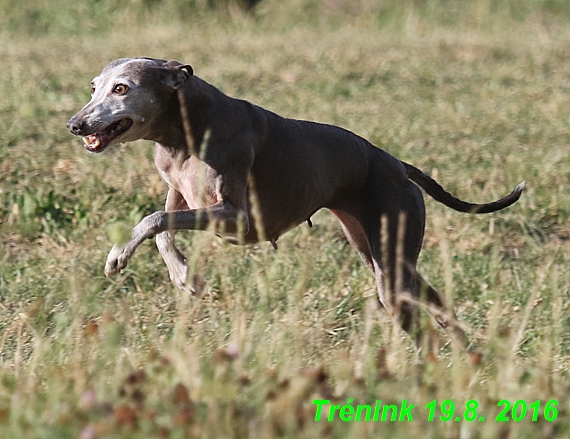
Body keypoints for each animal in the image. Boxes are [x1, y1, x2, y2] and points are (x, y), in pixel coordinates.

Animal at [67, 56, 524, 348]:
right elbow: (161, 224)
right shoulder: (180, 193)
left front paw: (119, 256)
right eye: (93, 88)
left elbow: (153, 219)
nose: (75, 124)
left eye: (121, 88)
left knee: (423, 331)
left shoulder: (237, 218)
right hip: (383, 255)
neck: (186, 126)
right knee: (437, 303)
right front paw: (183, 276)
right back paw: (467, 354)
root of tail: (396, 164)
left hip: (390, 264)